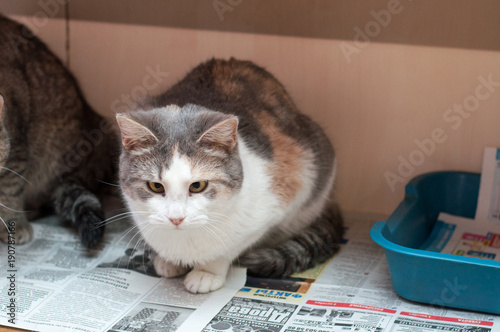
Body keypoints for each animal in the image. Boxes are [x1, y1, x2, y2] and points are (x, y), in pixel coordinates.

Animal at [117, 57, 344, 294]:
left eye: (198, 186)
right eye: (156, 186)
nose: (176, 218)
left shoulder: (279, 201)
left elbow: (226, 250)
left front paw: (206, 273)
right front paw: (167, 261)